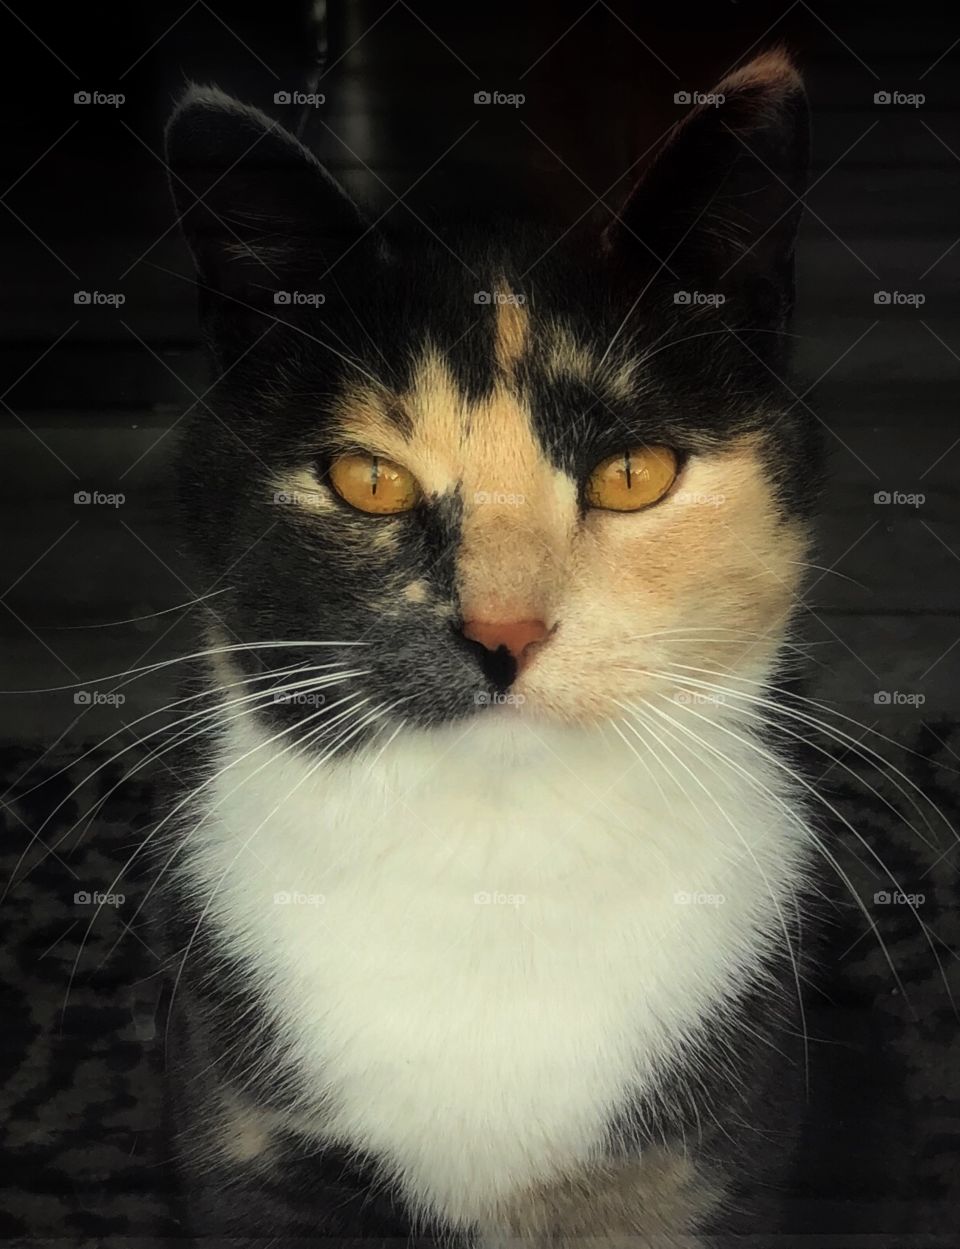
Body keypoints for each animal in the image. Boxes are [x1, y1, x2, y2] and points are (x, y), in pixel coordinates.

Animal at [157, 44, 818, 1244]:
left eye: (631, 472)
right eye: (368, 479)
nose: (504, 632)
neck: (495, 862)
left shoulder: (706, 1159)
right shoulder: (253, 1142)